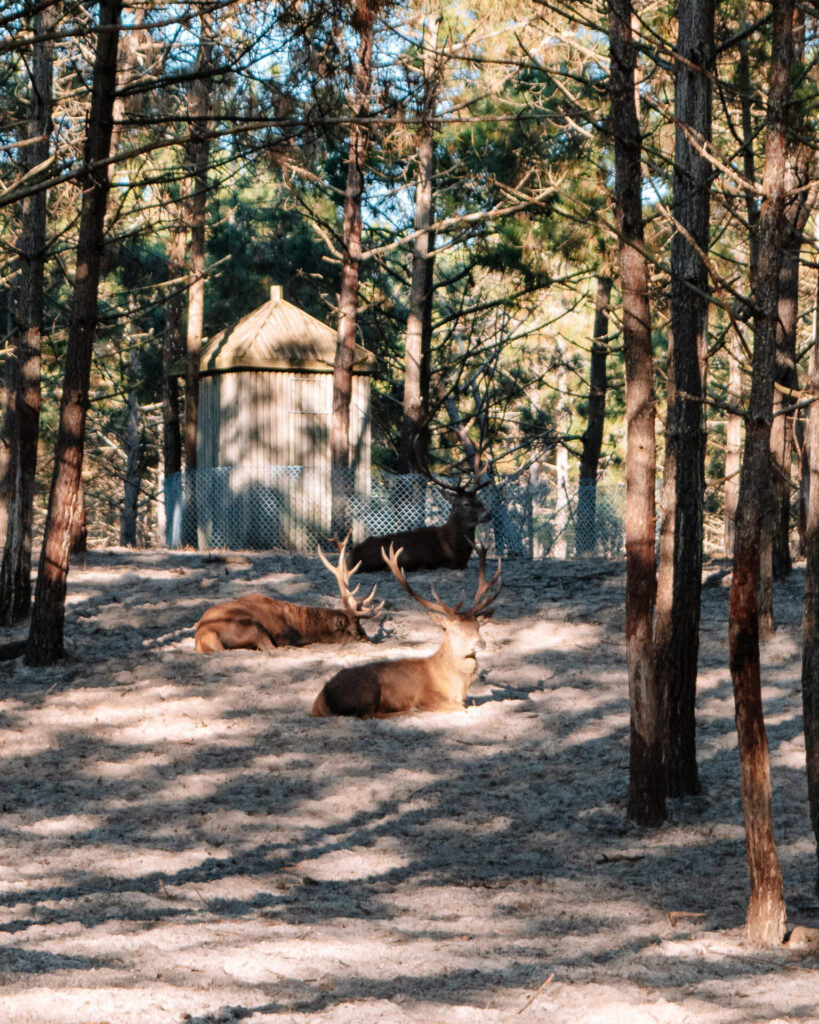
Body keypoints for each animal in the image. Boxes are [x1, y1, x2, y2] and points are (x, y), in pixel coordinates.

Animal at [195, 532, 384, 651]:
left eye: (364, 629)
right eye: (355, 633)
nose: (373, 643)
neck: (301, 625)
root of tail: (204, 636)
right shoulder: (283, 636)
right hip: (251, 627)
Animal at [311, 540, 499, 716]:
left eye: (478, 626)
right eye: (455, 629)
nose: (481, 643)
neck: (454, 687)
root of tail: (318, 703)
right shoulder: (428, 697)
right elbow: (463, 709)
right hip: (367, 690)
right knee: (368, 714)